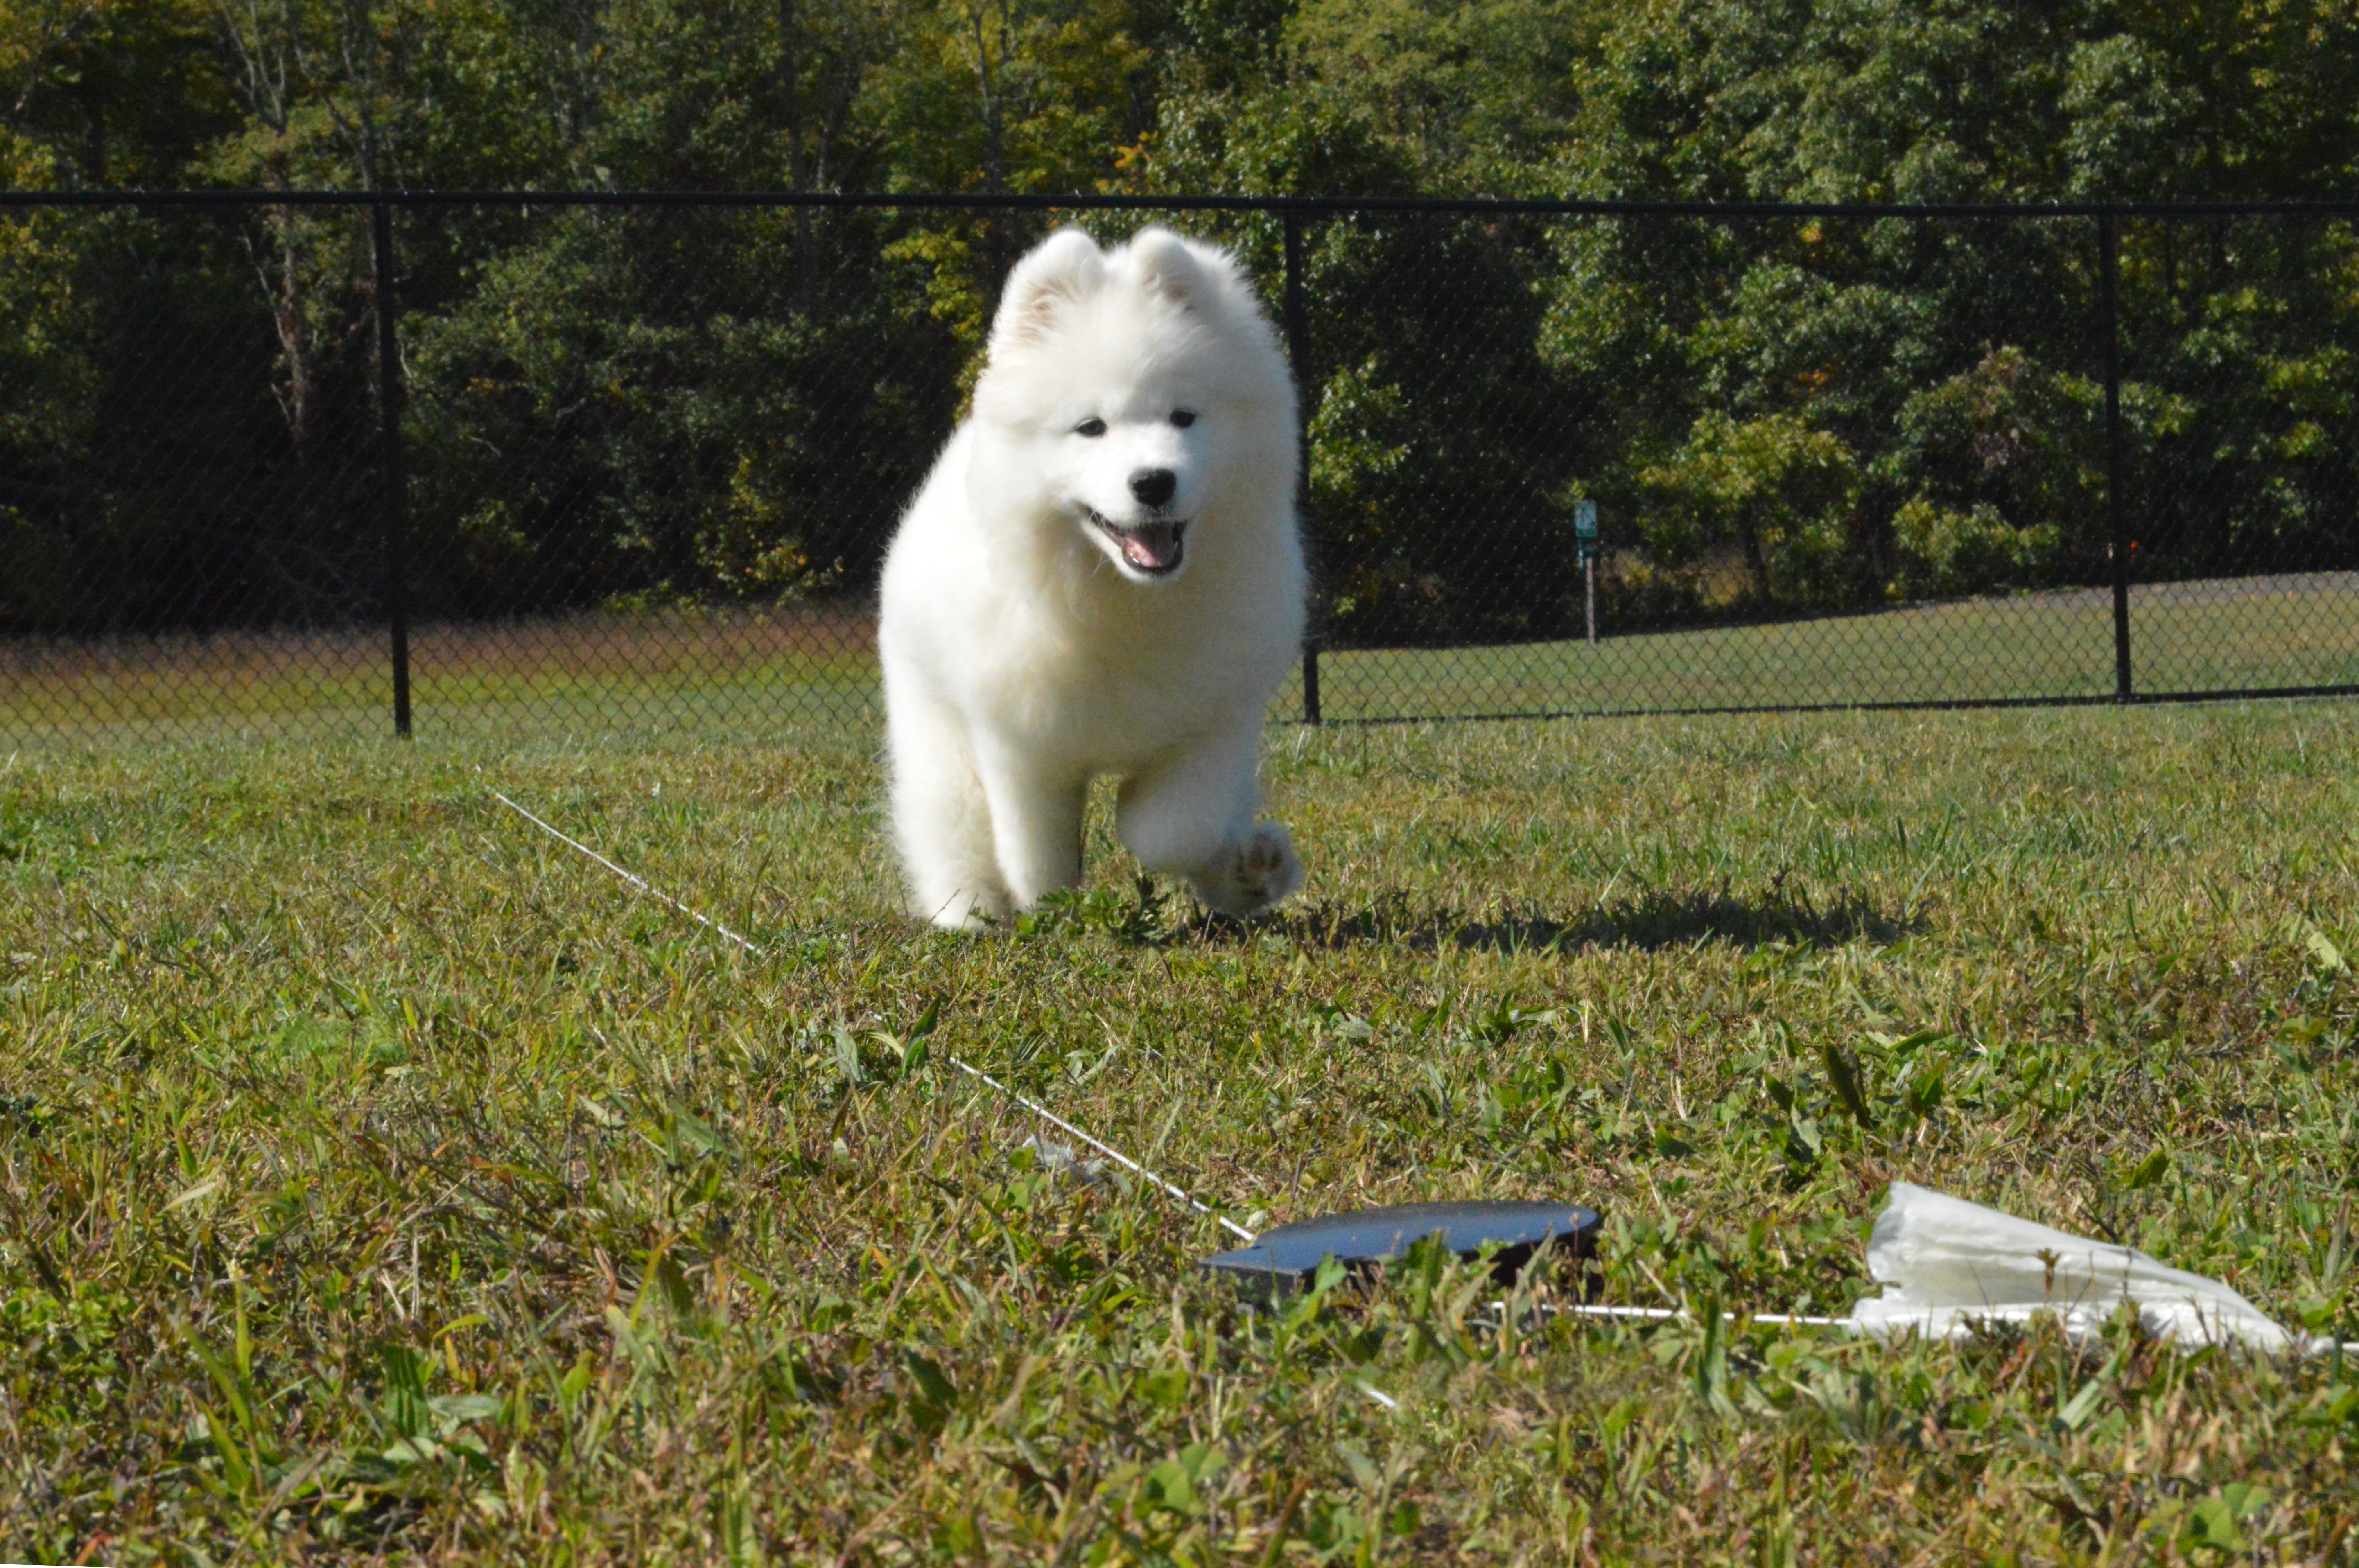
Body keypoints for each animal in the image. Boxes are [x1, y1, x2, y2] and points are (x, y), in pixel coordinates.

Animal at [877, 226, 1311, 924]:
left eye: (1183, 416)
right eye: (1090, 428)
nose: (1153, 481)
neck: (1121, 600)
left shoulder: (1218, 719)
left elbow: (1176, 827)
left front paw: (1174, 837)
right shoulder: (1020, 742)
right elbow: (1036, 853)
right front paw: (1049, 907)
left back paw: (1250, 869)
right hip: (936, 735)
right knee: (953, 831)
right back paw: (970, 913)